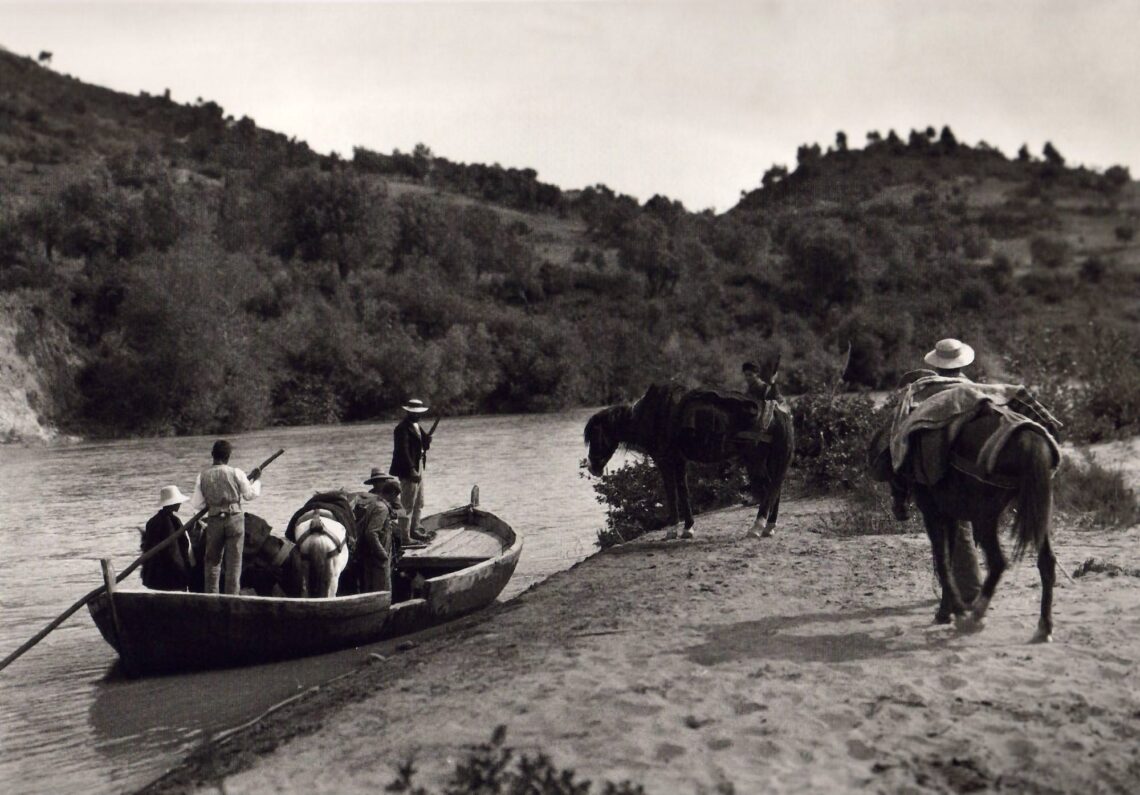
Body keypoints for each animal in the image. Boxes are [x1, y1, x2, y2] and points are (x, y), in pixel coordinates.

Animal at [588, 371, 793, 540]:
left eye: (595, 437)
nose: (592, 467)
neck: (650, 415)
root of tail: (776, 414)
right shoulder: (679, 461)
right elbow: (683, 492)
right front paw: (688, 529)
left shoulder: (665, 461)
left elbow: (671, 494)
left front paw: (672, 531)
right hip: (765, 461)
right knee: (775, 488)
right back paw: (769, 527)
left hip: (754, 461)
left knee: (769, 489)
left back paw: (757, 527)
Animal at [870, 406, 1057, 643]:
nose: (898, 510)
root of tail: (1029, 440)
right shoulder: (951, 517)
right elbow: (949, 562)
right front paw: (945, 611)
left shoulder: (933, 515)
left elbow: (942, 563)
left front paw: (955, 611)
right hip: (1036, 512)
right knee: (1046, 562)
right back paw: (1044, 626)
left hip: (984, 518)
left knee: (998, 562)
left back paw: (975, 614)